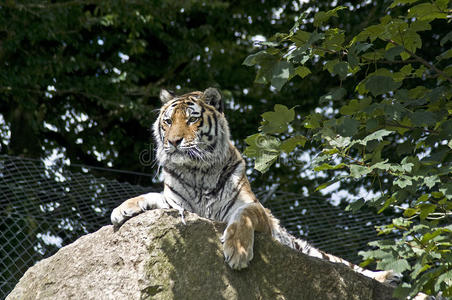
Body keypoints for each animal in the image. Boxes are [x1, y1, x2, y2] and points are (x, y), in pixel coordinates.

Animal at [109, 87, 400, 286]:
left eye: (191, 119)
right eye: (168, 121)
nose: (173, 141)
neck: (197, 171)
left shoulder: (253, 207)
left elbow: (243, 216)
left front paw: (237, 251)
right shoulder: (177, 203)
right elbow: (150, 195)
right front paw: (122, 209)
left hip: (319, 255)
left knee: (347, 266)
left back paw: (389, 276)